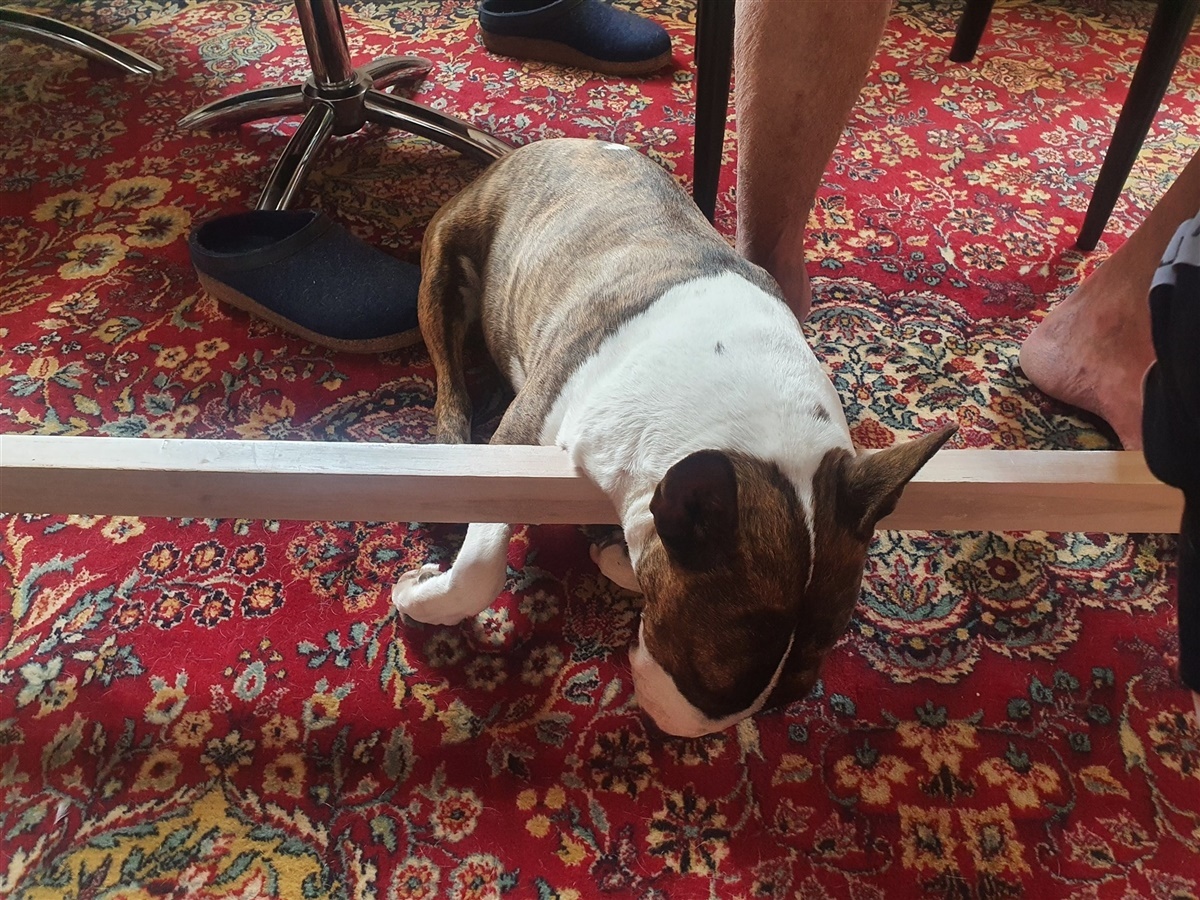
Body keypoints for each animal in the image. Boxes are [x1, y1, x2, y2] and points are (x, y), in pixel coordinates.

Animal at [392, 138, 955, 737]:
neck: (746, 416)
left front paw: (612, 556)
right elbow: (480, 570)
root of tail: (541, 147)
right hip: (444, 268)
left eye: (794, 697)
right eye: (696, 672)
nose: (683, 731)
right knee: (448, 371)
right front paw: (417, 594)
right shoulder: (516, 445)